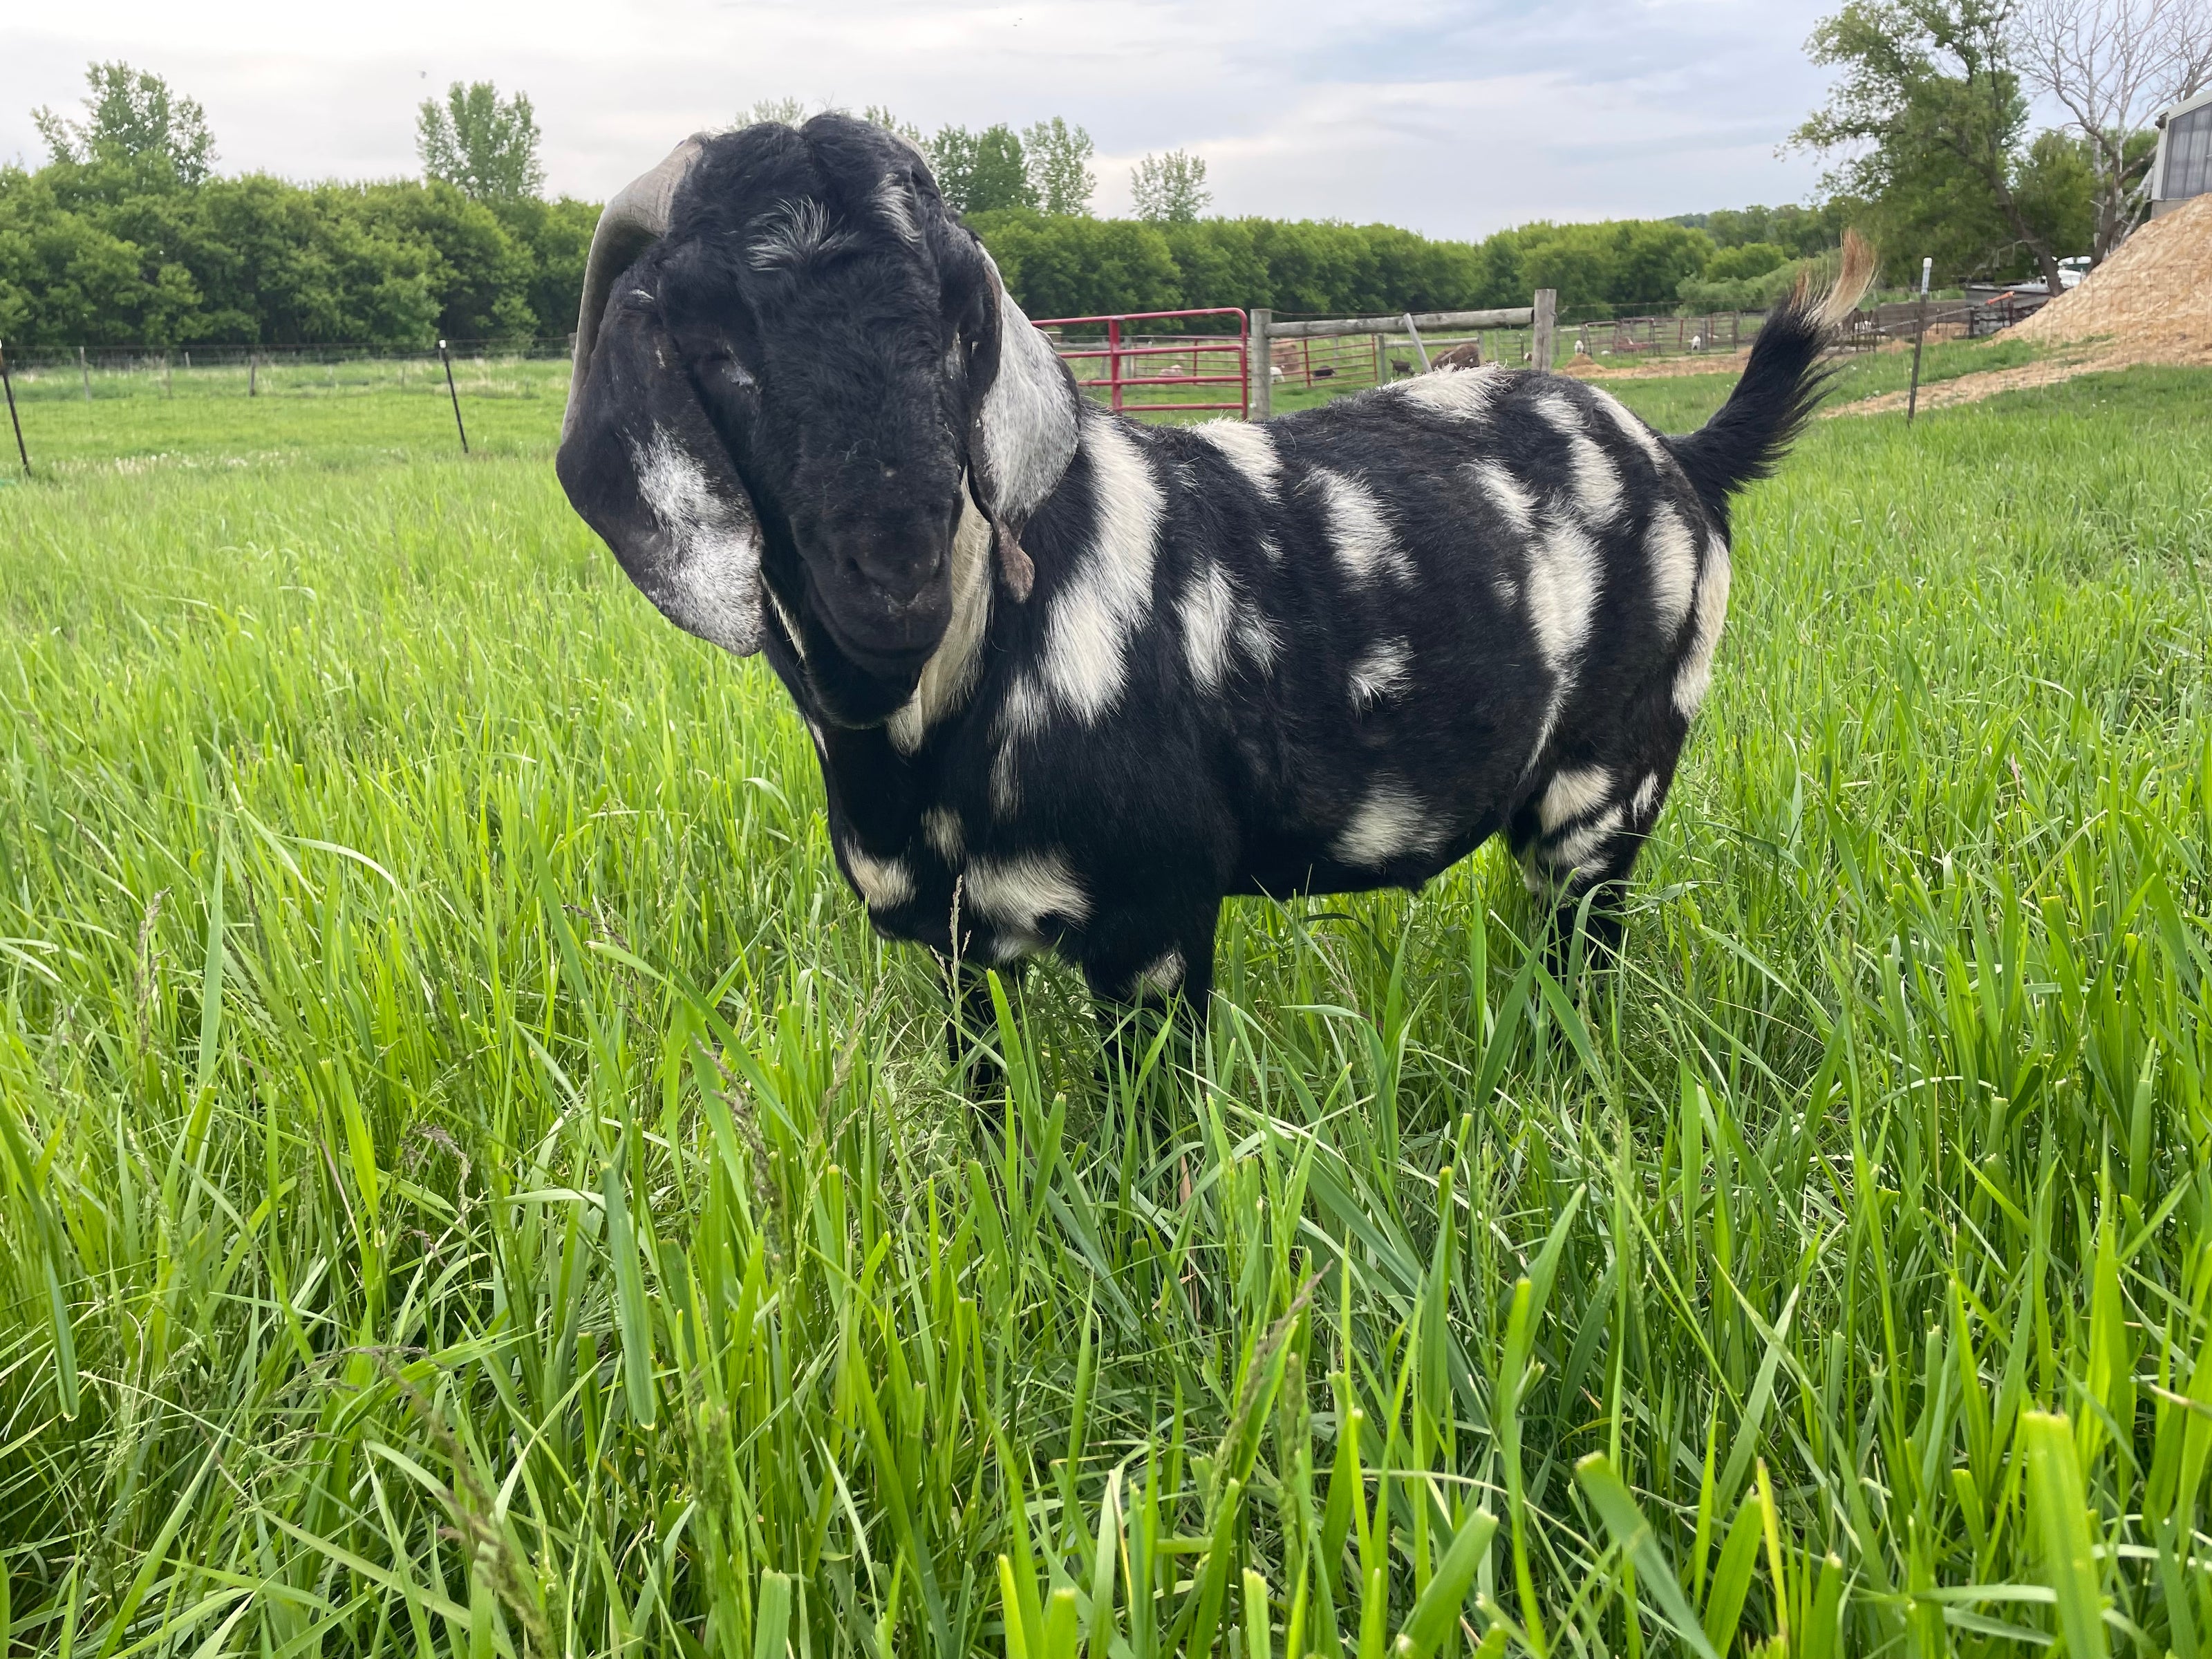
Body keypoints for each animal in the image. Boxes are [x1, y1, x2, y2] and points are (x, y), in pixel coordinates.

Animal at [558, 115, 1873, 1032]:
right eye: (714, 347)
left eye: (947, 325)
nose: (898, 568)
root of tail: (1686, 454)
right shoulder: (958, 948)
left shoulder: (1157, 924)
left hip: (1610, 788)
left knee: (1584, 959)